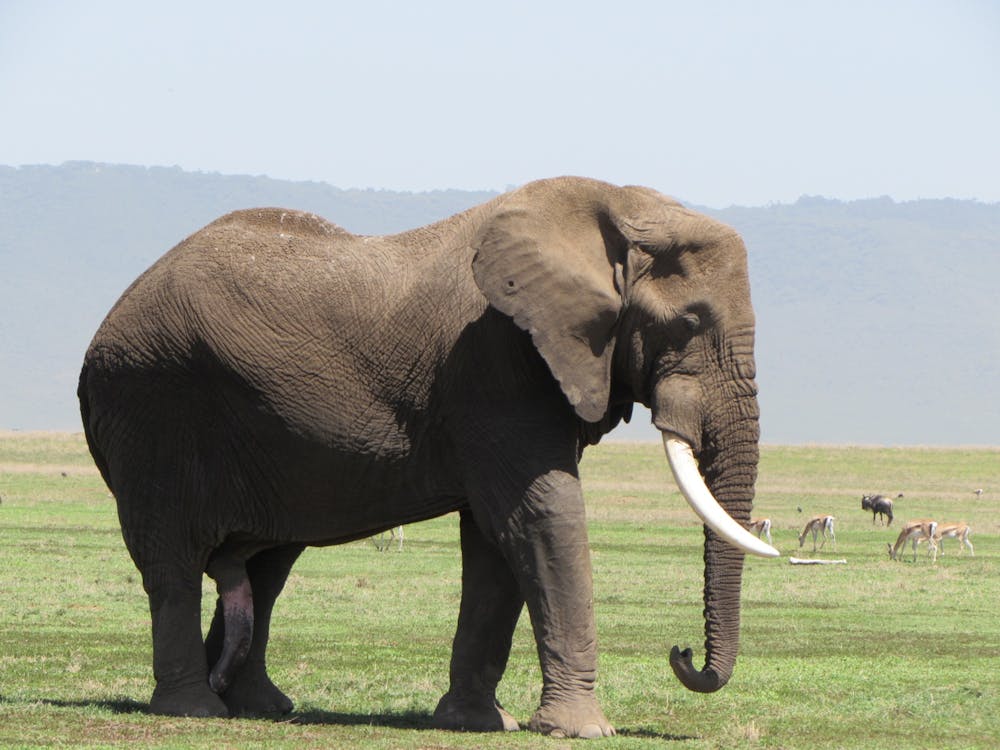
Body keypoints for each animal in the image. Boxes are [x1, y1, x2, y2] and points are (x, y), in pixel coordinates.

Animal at [80, 176, 780, 740]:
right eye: (689, 322)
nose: (682, 652)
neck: (615, 210)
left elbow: (497, 540)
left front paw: (477, 723)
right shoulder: (498, 361)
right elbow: (539, 517)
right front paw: (581, 731)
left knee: (266, 567)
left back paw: (259, 706)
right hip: (151, 409)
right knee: (173, 559)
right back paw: (193, 709)